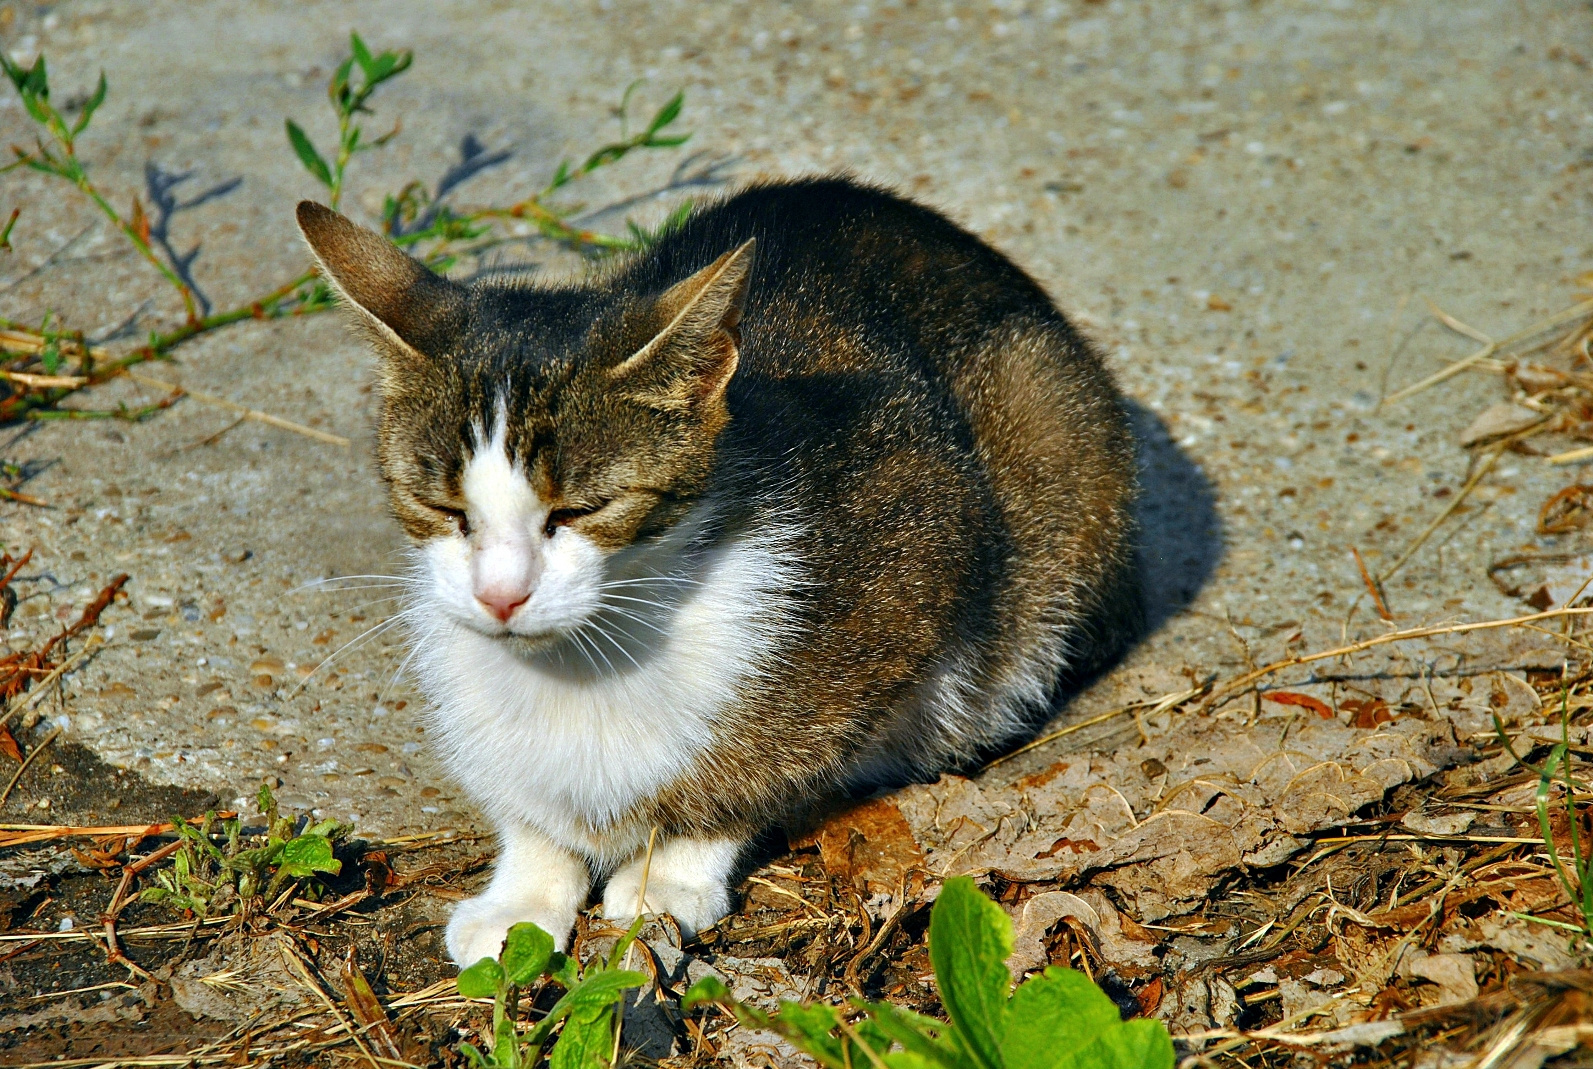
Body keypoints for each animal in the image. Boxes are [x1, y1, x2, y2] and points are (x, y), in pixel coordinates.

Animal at [296, 177, 1146, 968]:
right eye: (439, 506)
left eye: (582, 508)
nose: (499, 595)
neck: (581, 662)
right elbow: (525, 799)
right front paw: (526, 889)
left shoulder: (921, 541)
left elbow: (766, 761)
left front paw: (669, 872)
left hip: (1053, 443)